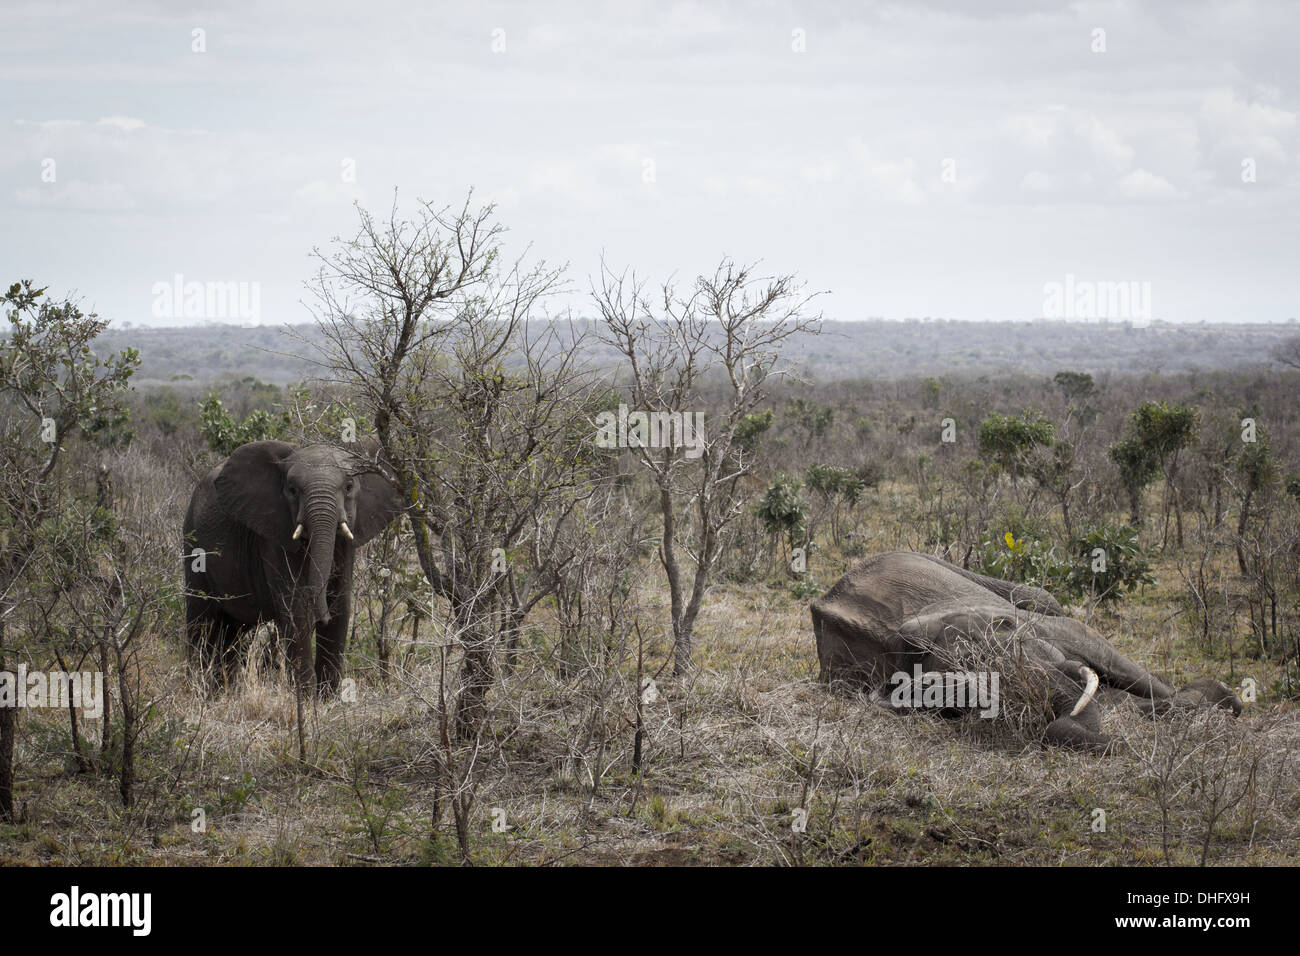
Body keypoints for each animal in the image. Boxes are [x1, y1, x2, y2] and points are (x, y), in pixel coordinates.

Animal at [183, 437, 403, 691]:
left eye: (349, 487)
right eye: (292, 490)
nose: (322, 616)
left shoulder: (348, 540)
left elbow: (340, 609)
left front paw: (328, 696)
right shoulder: (274, 534)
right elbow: (297, 609)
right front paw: (307, 698)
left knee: (233, 631)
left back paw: (223, 692)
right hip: (192, 542)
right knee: (201, 623)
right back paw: (197, 688)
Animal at [806, 554, 1242, 749]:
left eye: (1007, 632)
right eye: (965, 695)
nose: (1121, 745)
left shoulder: (1050, 630)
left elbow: (1104, 656)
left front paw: (1224, 699)